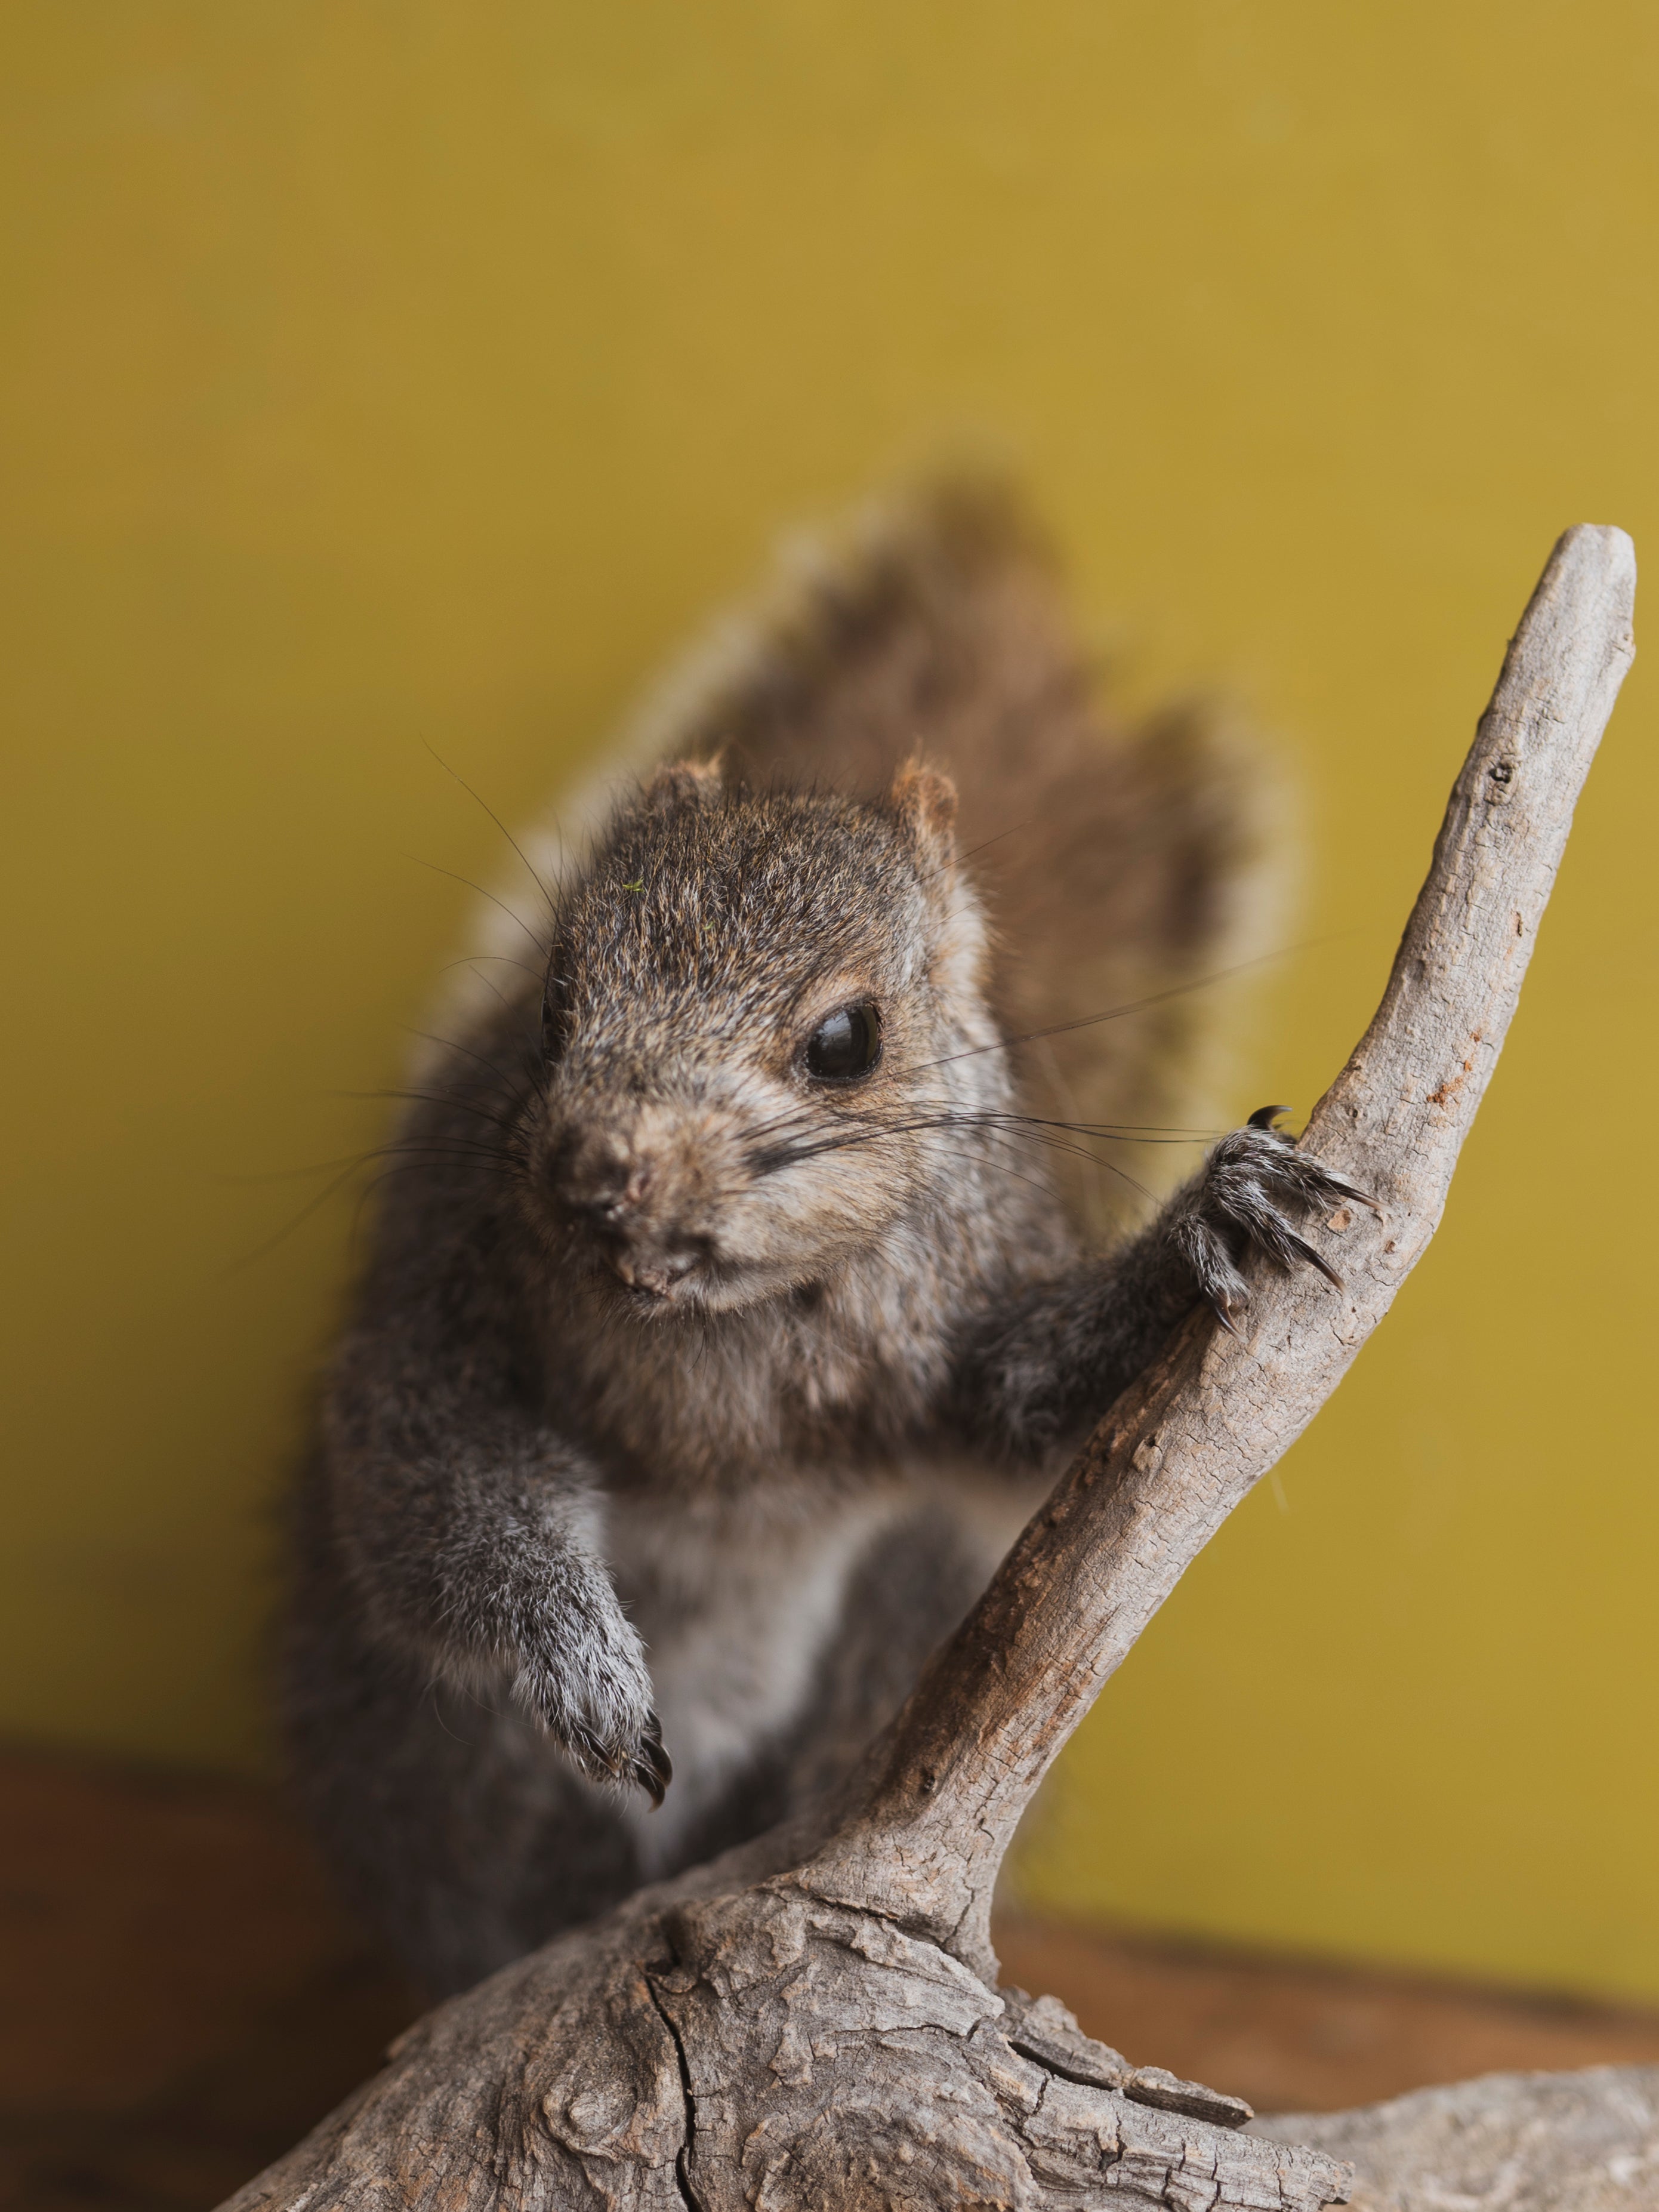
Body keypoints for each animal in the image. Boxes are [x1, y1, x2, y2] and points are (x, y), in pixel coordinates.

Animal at [279, 489, 1353, 2008]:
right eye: (550, 1001)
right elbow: (436, 1490)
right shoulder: (439, 1300)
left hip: (899, 1619)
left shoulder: (953, 1335)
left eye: (847, 1040)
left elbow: (1028, 1407)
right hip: (431, 1766)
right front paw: (581, 1661)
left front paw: (1214, 1219)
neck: (721, 1321)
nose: (598, 1174)